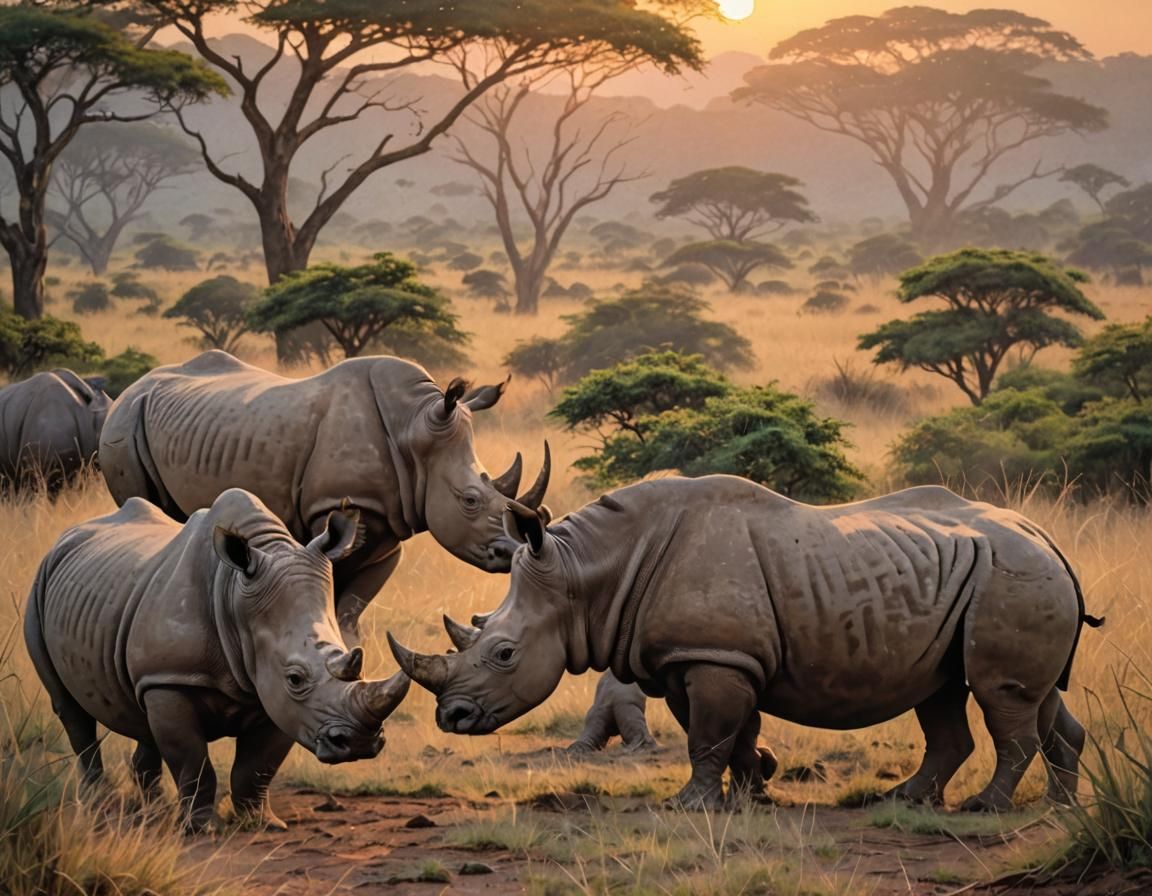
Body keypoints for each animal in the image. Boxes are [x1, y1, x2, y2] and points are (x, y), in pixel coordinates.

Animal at [25, 488, 410, 833]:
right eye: (295, 678)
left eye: (353, 658)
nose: (358, 743)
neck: (235, 598)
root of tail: (67, 536)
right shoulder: (173, 679)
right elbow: (193, 761)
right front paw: (203, 829)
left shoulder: (273, 695)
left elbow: (256, 766)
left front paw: (263, 823)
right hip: (40, 586)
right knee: (69, 708)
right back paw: (98, 804)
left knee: (140, 711)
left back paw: (152, 810)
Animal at [99, 350, 548, 641]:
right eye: (470, 500)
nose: (511, 552)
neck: (414, 428)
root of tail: (131, 388)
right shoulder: (335, 509)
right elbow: (331, 600)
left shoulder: (391, 525)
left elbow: (351, 612)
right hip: (123, 422)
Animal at [391, 477, 1102, 812]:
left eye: (504, 653)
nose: (452, 717)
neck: (585, 576)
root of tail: (1045, 537)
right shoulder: (697, 659)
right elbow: (726, 732)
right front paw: (752, 791)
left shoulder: (715, 656)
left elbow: (708, 734)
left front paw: (689, 806)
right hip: (993, 575)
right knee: (973, 693)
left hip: (1012, 574)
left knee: (998, 694)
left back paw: (985, 809)